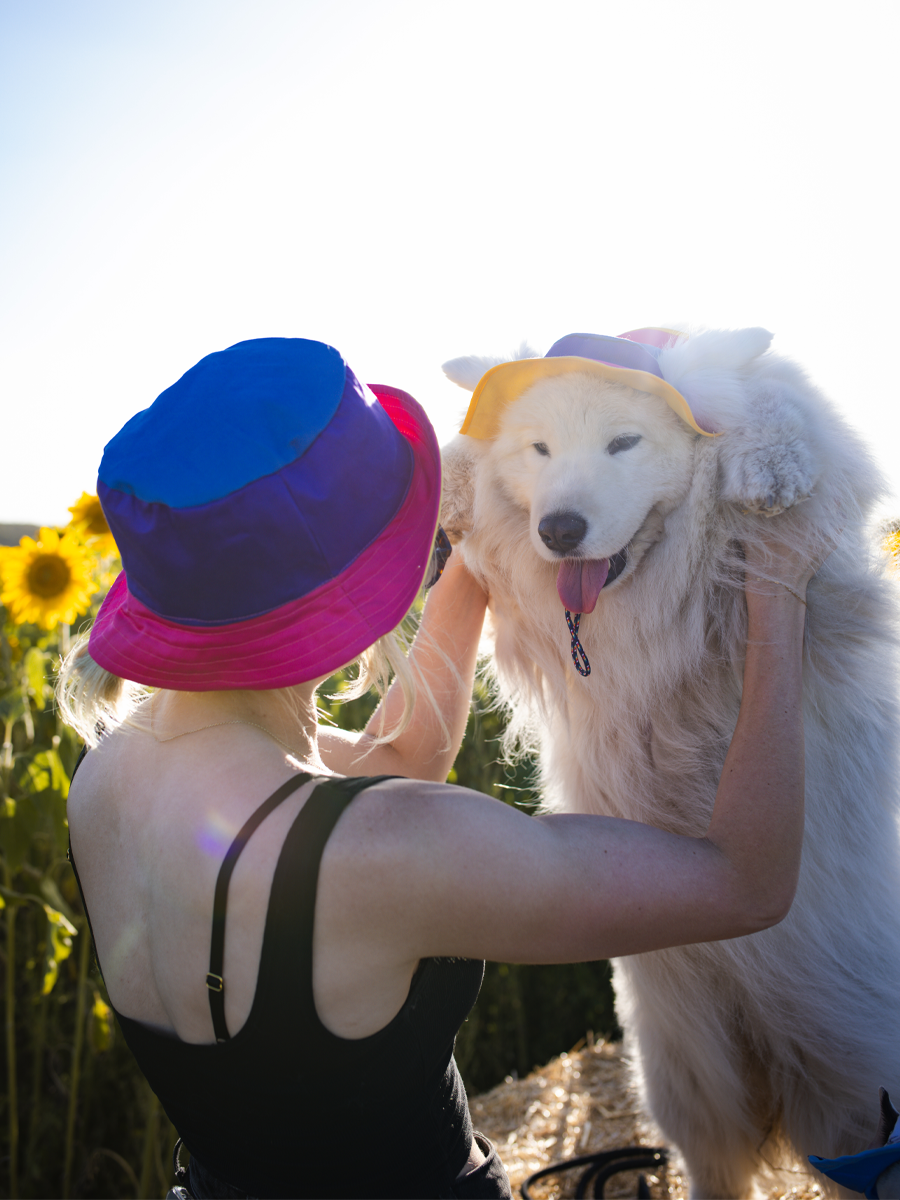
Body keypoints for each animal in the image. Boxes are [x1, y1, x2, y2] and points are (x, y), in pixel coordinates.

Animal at [441, 328, 900, 1200]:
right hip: (693, 1086)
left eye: (625, 443)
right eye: (540, 449)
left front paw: (767, 464)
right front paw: (451, 479)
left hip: (853, 1092)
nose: (559, 529)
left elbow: (762, 393)